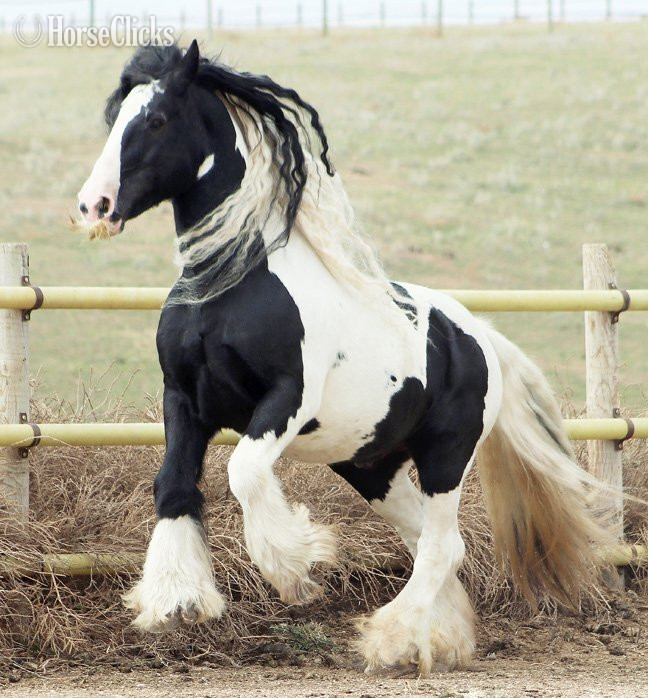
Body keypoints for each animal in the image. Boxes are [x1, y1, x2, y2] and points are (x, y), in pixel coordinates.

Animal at [77, 40, 611, 675]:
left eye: (156, 120)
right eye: (115, 118)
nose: (93, 206)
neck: (228, 287)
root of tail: (478, 336)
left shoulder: (286, 398)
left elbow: (245, 472)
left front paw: (298, 569)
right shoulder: (183, 400)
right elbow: (174, 487)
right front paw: (176, 602)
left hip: (445, 455)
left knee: (442, 545)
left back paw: (391, 642)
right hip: (371, 465)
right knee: (428, 542)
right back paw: (439, 640)